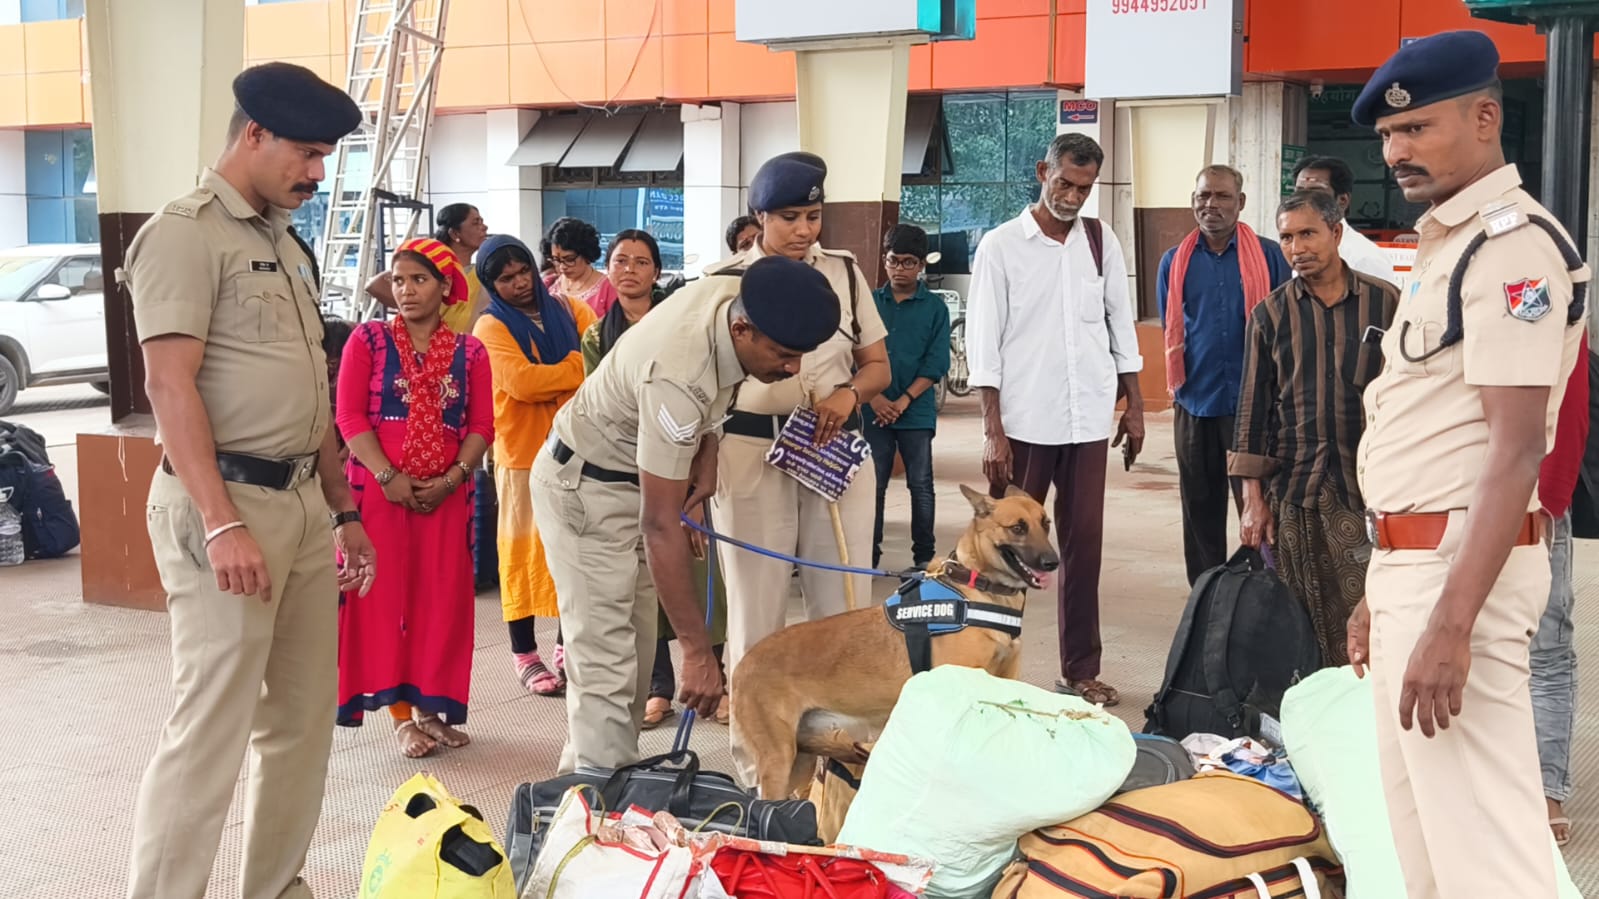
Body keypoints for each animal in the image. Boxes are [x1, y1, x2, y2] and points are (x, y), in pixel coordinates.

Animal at [729, 483, 1055, 796]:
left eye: (1046, 523)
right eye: (1018, 528)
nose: (1053, 562)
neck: (977, 590)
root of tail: (743, 664)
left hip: (800, 762)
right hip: (780, 760)